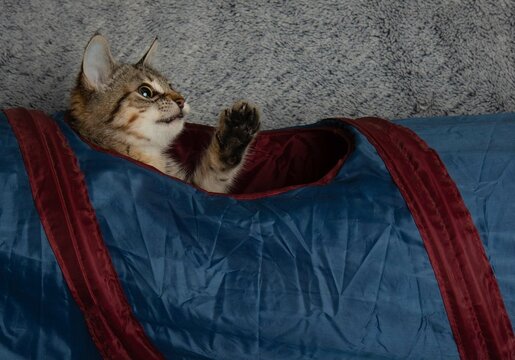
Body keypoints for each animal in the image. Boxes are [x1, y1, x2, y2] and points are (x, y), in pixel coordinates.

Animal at [68, 34, 260, 193]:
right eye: (145, 92)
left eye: (171, 86)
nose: (182, 100)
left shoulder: (201, 187)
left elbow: (215, 174)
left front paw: (236, 132)